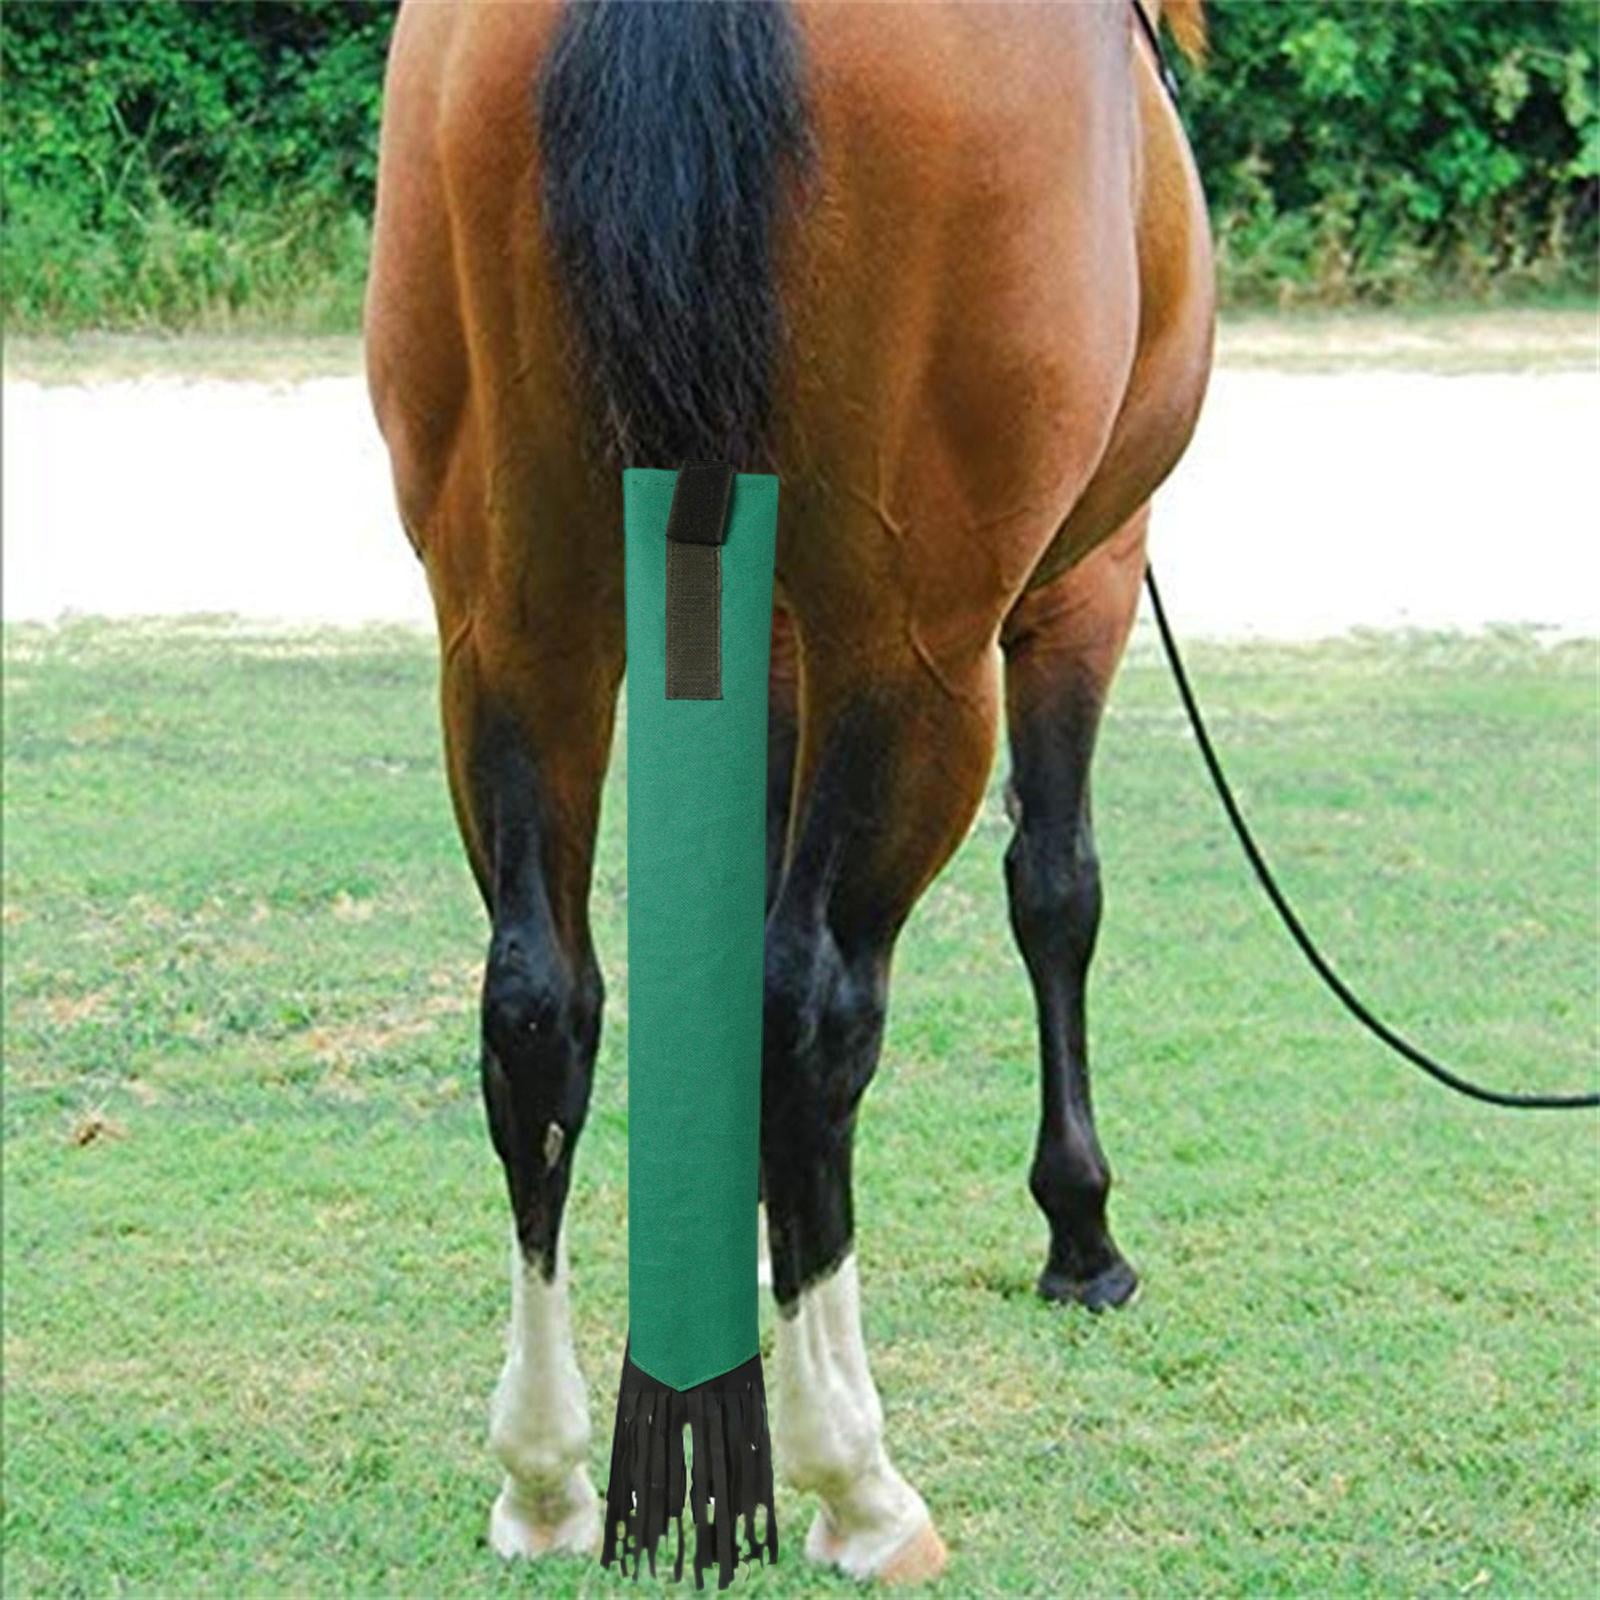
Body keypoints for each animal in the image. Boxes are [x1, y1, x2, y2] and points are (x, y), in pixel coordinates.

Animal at [366, 0, 1212, 1581]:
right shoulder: (1084, 579)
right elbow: (1055, 892)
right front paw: (1080, 1231)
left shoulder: (756, 640)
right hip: (918, 641)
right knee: (814, 1005)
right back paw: (857, 1483)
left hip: (511, 614)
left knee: (536, 1006)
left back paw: (547, 1477)